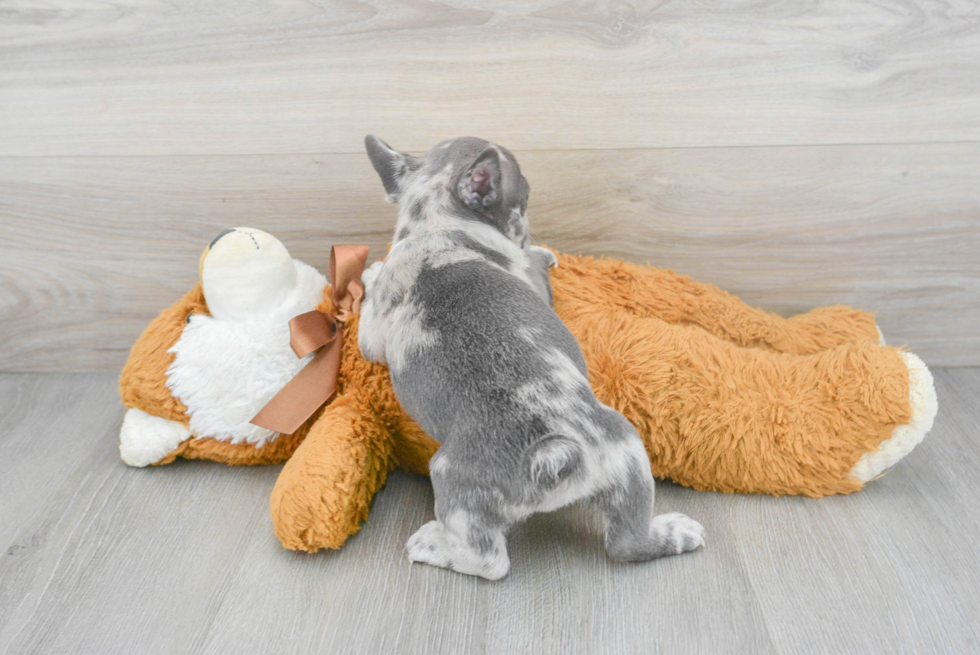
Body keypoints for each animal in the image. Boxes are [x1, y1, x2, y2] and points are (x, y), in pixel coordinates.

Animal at [360, 135, 704, 580]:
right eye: (524, 197)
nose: (529, 227)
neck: (435, 220)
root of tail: (554, 455)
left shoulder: (371, 334)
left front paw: (369, 272)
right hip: (626, 450)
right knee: (602, 546)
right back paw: (675, 533)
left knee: (492, 559)